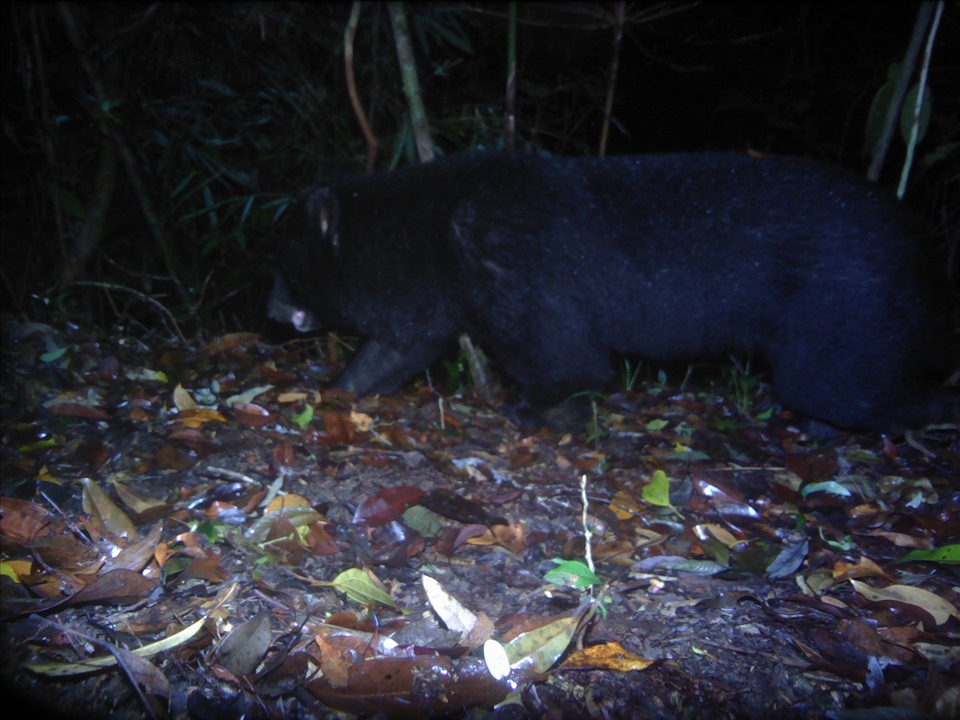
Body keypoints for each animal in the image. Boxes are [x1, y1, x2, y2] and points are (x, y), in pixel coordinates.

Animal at [266, 150, 956, 434]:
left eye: (286, 263)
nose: (270, 310)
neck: (428, 229)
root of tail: (924, 240)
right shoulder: (436, 292)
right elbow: (397, 347)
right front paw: (338, 389)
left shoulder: (512, 265)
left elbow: (568, 359)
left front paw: (536, 411)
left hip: (844, 308)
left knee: (847, 387)